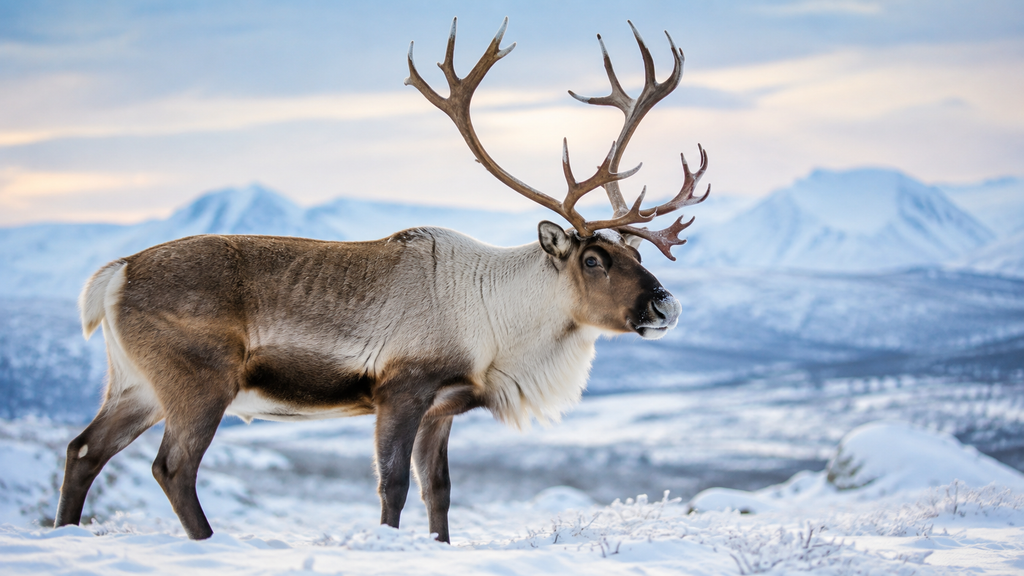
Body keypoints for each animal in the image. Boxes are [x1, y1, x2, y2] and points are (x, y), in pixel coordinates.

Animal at [54, 17, 709, 543]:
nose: (667, 305)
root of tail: (116, 273)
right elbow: (391, 485)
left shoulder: (443, 407)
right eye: (594, 258)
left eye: (632, 252)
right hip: (199, 381)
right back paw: (206, 543)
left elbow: (438, 491)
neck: (497, 323)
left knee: (83, 449)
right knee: (172, 467)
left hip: (136, 384)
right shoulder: (401, 389)